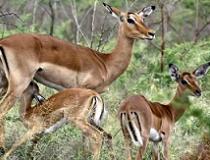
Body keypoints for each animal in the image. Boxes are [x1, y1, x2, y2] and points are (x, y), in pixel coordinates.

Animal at [0, 2, 156, 151]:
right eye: (130, 19)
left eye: (143, 18)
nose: (151, 33)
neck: (105, 62)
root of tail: (3, 42)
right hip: (18, 85)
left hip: (5, 83)